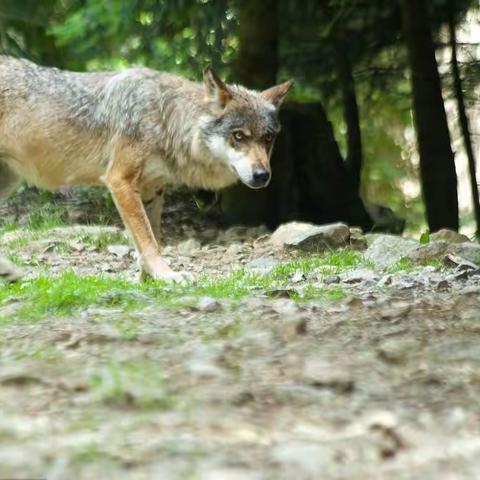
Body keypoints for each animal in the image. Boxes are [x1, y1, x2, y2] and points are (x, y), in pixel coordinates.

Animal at [0, 56, 292, 282]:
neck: (166, 119)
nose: (262, 175)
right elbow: (148, 240)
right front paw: (167, 275)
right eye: (239, 136)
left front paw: (147, 278)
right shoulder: (120, 180)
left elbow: (152, 239)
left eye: (268, 139)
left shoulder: (153, 189)